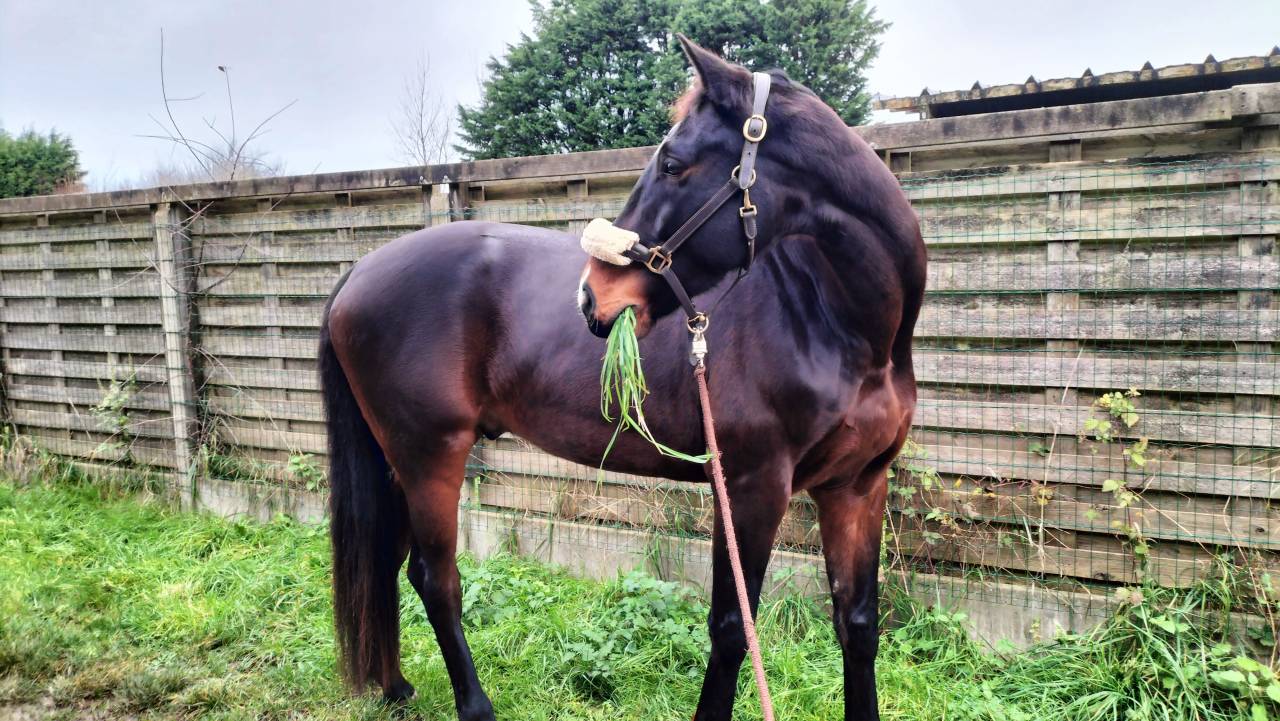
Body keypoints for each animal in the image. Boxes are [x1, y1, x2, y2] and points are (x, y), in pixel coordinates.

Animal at [319, 35, 925, 721]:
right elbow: (732, 628)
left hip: (398, 457)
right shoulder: (750, 488)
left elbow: (858, 624)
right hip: (430, 454)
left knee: (392, 559)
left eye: (673, 164)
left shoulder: (857, 487)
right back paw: (474, 706)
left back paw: (394, 688)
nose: (592, 296)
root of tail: (359, 270)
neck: (837, 324)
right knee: (435, 575)